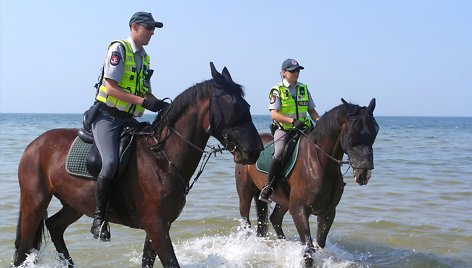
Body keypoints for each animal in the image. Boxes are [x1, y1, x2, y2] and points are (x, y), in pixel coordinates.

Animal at [236, 99, 380, 266]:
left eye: (375, 132)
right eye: (352, 133)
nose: (364, 174)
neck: (320, 165)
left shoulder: (328, 212)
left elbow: (320, 244)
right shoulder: (299, 210)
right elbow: (308, 249)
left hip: (283, 201)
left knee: (274, 219)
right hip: (245, 193)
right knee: (246, 222)